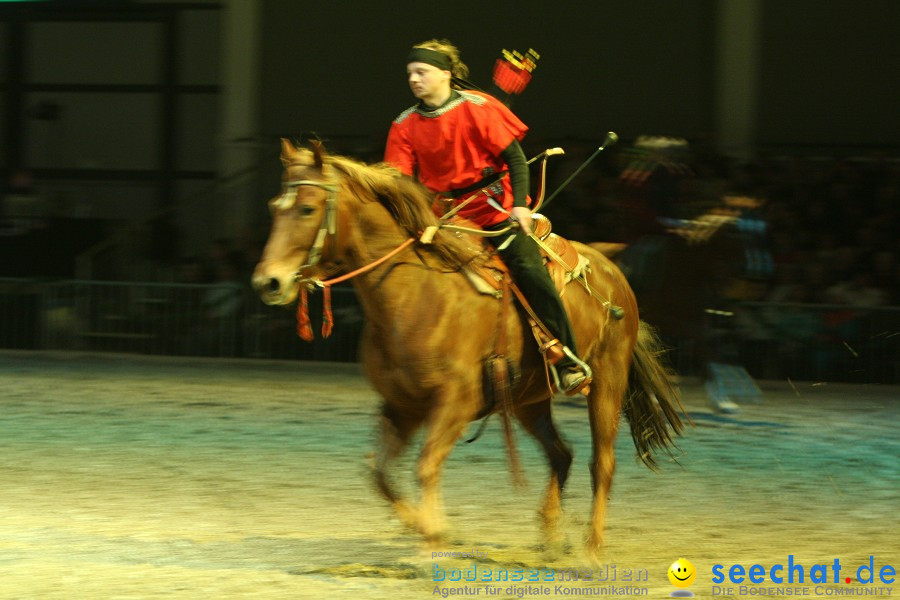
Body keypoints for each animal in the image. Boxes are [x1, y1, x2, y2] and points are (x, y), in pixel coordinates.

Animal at [250, 138, 684, 556]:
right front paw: (430, 529)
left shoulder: (456, 401)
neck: (415, 293)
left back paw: (591, 550)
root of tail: (614, 271)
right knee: (562, 454)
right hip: (528, 398)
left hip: (608, 379)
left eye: (307, 208)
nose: (268, 282)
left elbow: (425, 466)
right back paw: (550, 536)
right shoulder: (402, 404)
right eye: (274, 207)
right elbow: (380, 471)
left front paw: (433, 541)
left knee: (602, 463)